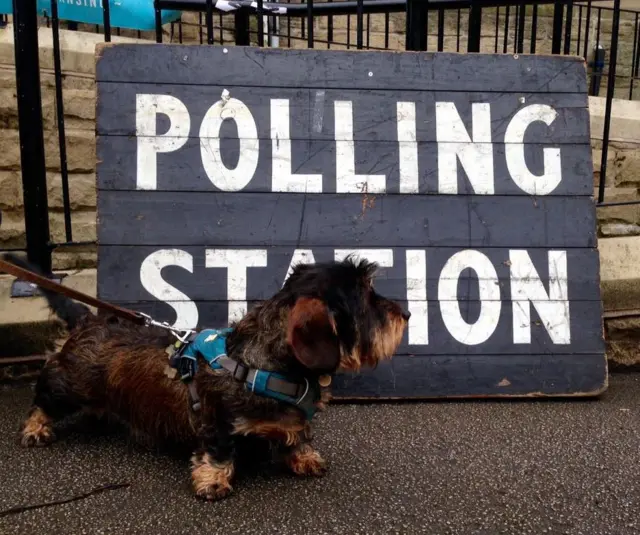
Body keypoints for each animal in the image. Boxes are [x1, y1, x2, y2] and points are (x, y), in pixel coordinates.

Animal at [6, 253, 410, 500]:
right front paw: (213, 481)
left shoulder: (295, 420)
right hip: (66, 385)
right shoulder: (216, 421)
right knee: (43, 397)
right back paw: (36, 428)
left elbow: (299, 436)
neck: (262, 363)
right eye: (365, 299)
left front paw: (305, 458)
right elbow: (218, 452)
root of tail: (89, 320)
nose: (406, 313)